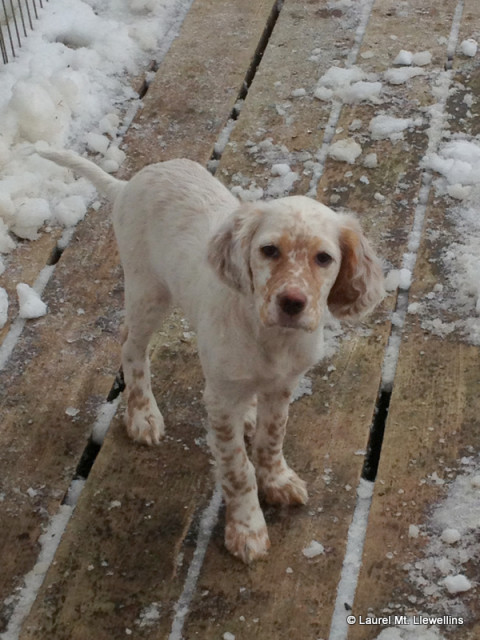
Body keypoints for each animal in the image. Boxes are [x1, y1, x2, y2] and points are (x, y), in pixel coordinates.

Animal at [37, 149, 384, 560]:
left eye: (324, 258)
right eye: (269, 250)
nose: (292, 302)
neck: (270, 337)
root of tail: (130, 183)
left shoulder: (283, 386)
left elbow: (271, 439)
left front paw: (277, 480)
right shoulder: (221, 400)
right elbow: (237, 468)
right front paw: (247, 528)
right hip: (148, 291)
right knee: (131, 348)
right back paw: (142, 414)